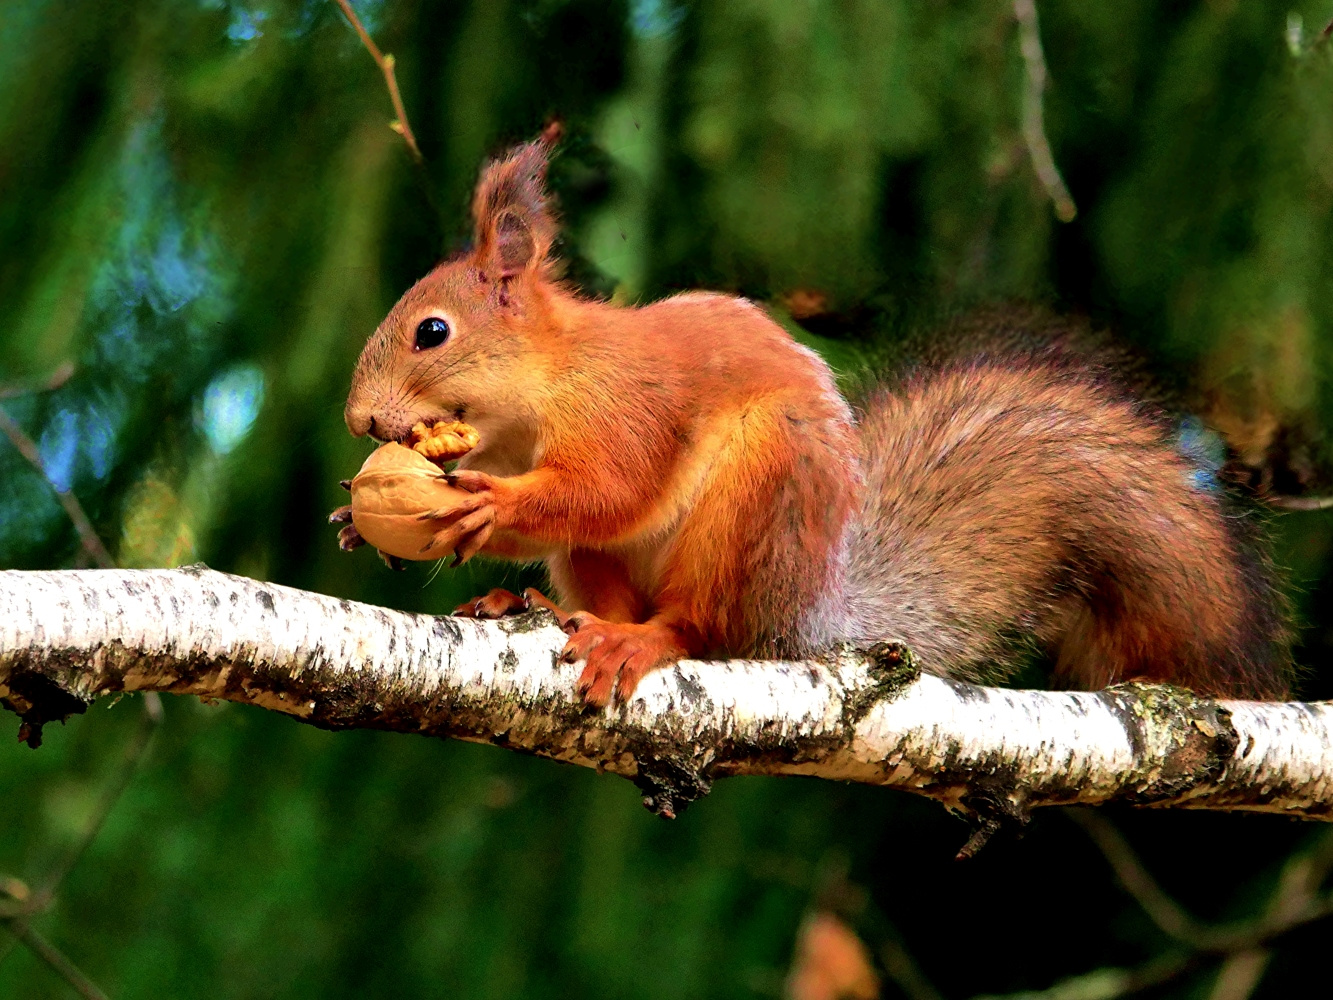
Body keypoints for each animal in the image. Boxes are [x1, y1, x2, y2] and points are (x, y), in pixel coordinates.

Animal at [336, 135, 1293, 707]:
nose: (357, 420)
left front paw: (482, 505)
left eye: (431, 332)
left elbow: (610, 487)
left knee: (700, 630)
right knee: (600, 587)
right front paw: (359, 517)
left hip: (755, 502)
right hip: (620, 561)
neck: (538, 392)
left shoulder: (627, 406)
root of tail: (801, 618)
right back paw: (529, 605)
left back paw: (632, 641)